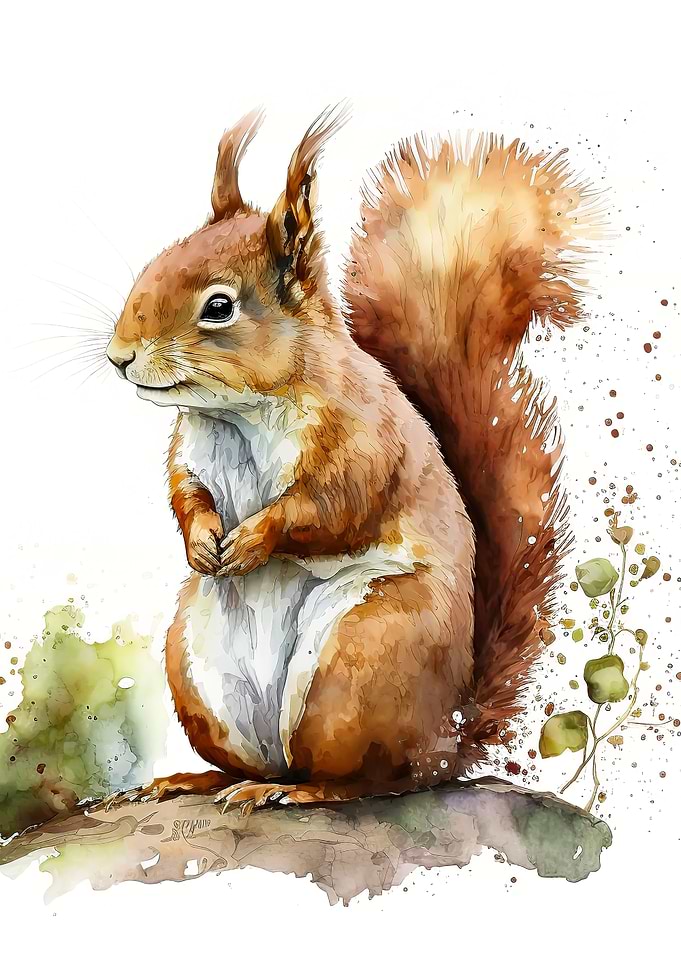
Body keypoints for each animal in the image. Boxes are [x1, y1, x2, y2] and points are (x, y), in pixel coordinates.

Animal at [106, 106, 601, 811]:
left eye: (219, 307)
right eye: (155, 262)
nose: (120, 355)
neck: (240, 411)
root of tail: (445, 741)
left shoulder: (362, 439)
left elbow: (330, 506)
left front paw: (253, 538)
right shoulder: (192, 448)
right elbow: (185, 490)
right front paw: (202, 540)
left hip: (360, 662)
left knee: (364, 779)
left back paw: (299, 793)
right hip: (198, 671)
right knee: (255, 764)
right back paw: (198, 780)